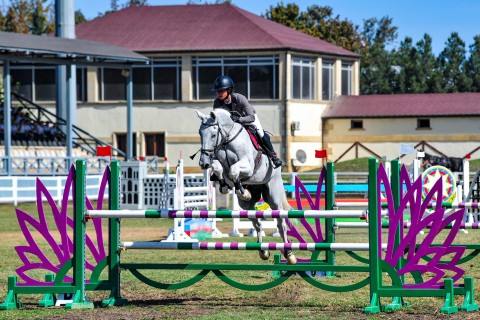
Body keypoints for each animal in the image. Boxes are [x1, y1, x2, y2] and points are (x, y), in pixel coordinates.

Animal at [195, 109, 296, 264]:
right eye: (200, 133)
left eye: (213, 134)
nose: (203, 163)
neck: (227, 140)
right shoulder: (218, 162)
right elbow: (219, 168)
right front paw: (226, 186)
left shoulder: (248, 166)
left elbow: (233, 170)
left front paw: (242, 191)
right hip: (246, 206)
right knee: (257, 223)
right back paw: (263, 251)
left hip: (274, 197)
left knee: (281, 224)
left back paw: (289, 254)